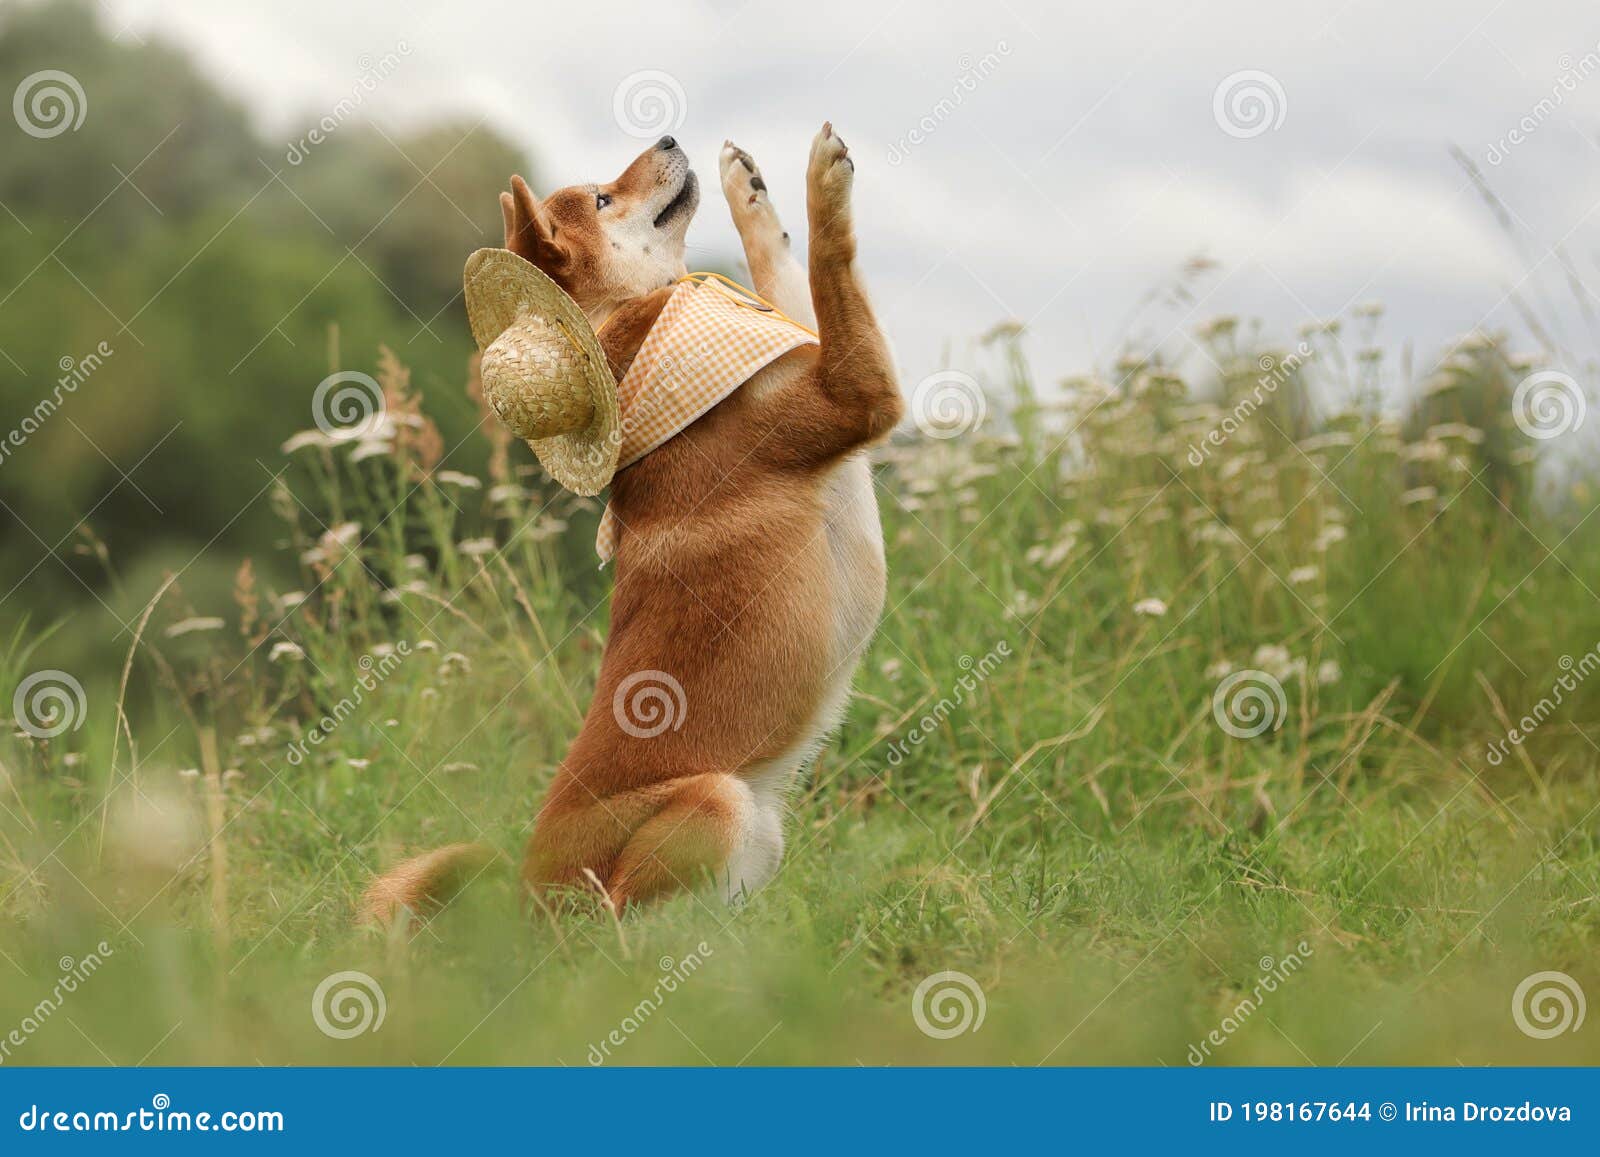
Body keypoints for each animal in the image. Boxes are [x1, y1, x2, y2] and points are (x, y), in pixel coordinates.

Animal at [366, 126, 908, 921]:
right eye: (602, 198)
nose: (669, 136)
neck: (628, 338)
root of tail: (528, 892)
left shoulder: (812, 358)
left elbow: (785, 276)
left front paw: (751, 192)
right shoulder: (854, 393)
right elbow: (828, 262)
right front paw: (822, 185)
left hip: (758, 838)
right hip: (715, 800)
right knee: (622, 926)